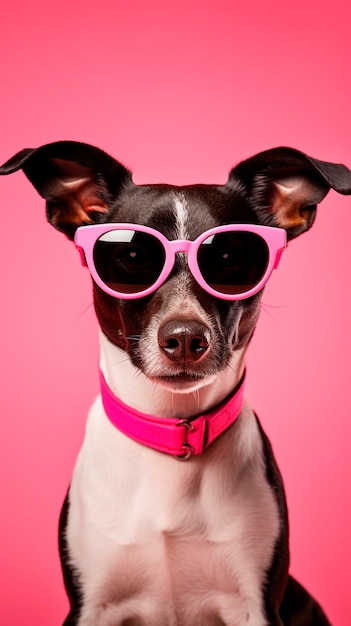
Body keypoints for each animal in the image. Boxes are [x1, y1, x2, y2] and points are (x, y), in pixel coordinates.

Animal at [1, 141, 350, 624]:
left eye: (230, 258)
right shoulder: (92, 606)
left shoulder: (256, 605)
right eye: (131, 258)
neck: (172, 432)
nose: (185, 338)